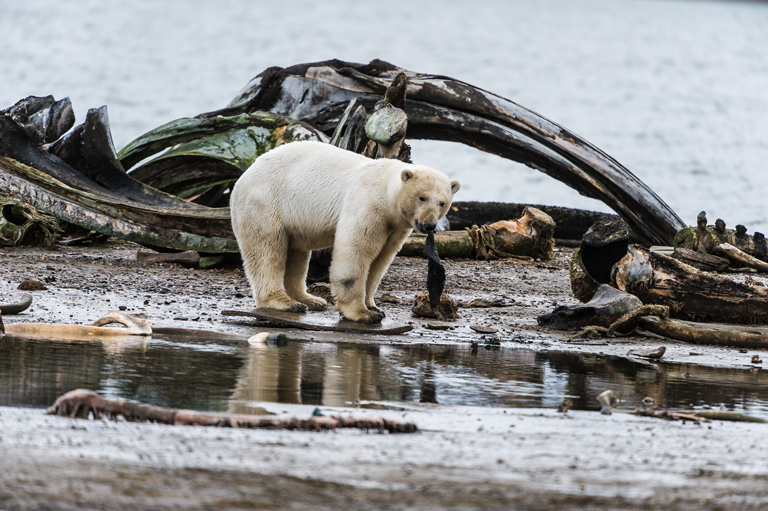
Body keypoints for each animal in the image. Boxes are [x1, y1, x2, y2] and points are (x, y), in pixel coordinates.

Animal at [226, 140, 456, 324]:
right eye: (422, 197)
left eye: (442, 202)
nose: (429, 225)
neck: (385, 190)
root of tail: (244, 175)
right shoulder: (367, 205)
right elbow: (356, 251)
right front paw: (363, 313)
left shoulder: (396, 227)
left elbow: (380, 261)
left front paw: (374, 306)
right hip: (265, 202)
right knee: (267, 251)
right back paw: (284, 302)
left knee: (296, 254)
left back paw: (310, 299)